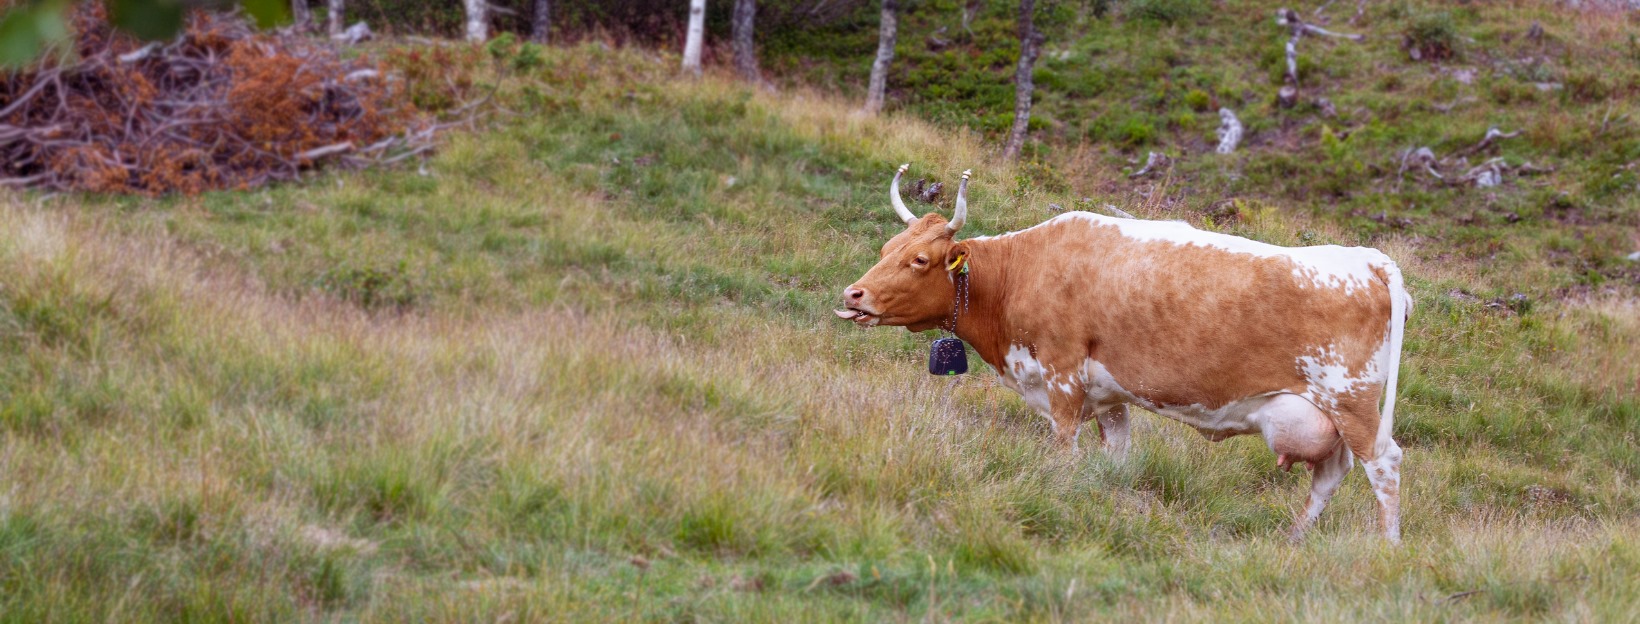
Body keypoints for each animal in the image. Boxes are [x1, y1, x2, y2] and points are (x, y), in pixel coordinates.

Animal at [837, 165, 1413, 541]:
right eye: (886, 249)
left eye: (919, 259)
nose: (853, 295)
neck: (1020, 272)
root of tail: (1367, 258)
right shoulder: (1108, 396)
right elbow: (1116, 457)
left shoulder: (1063, 375)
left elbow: (1063, 448)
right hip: (1326, 415)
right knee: (1331, 473)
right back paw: (1292, 540)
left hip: (1352, 402)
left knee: (1384, 467)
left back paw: (1387, 548)